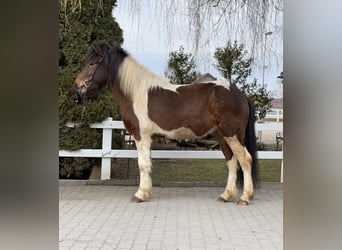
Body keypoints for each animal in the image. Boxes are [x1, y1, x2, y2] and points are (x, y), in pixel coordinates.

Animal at [74, 41, 256, 205]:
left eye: (92, 63)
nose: (77, 87)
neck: (136, 93)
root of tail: (240, 94)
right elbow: (148, 164)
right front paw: (146, 192)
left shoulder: (141, 136)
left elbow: (142, 165)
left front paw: (140, 195)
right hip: (222, 135)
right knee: (232, 162)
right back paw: (226, 195)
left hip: (232, 134)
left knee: (245, 160)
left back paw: (245, 198)